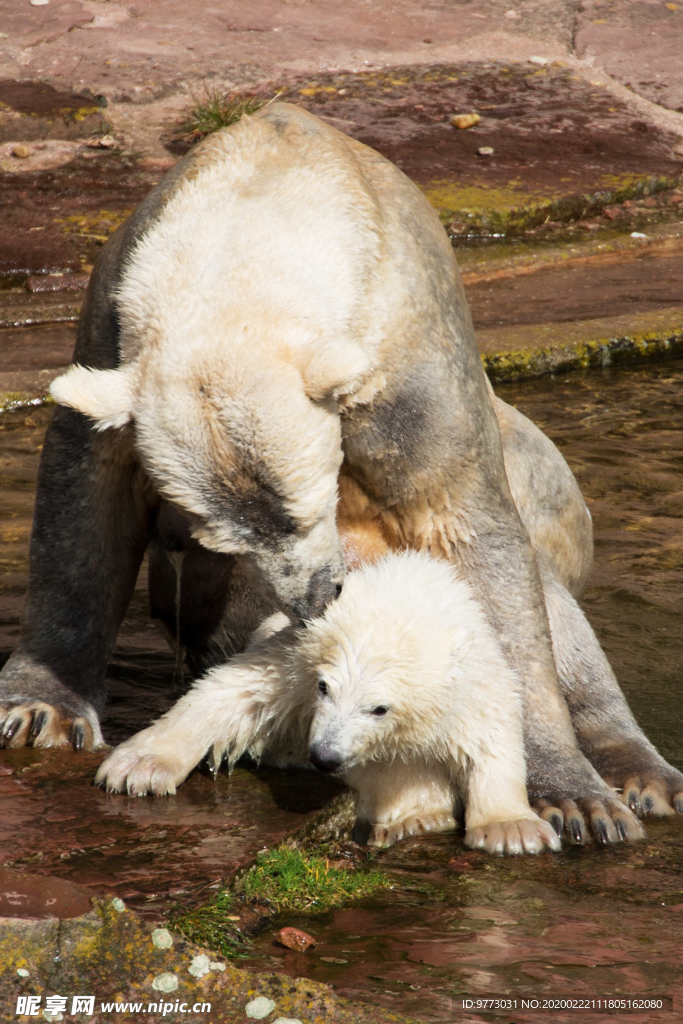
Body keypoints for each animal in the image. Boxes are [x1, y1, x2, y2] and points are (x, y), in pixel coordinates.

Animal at [0, 103, 679, 839]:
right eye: (221, 541)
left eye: (309, 507)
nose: (321, 596)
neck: (271, 190)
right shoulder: (111, 314)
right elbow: (86, 494)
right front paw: (41, 708)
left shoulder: (414, 362)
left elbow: (474, 539)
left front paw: (573, 799)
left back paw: (642, 775)